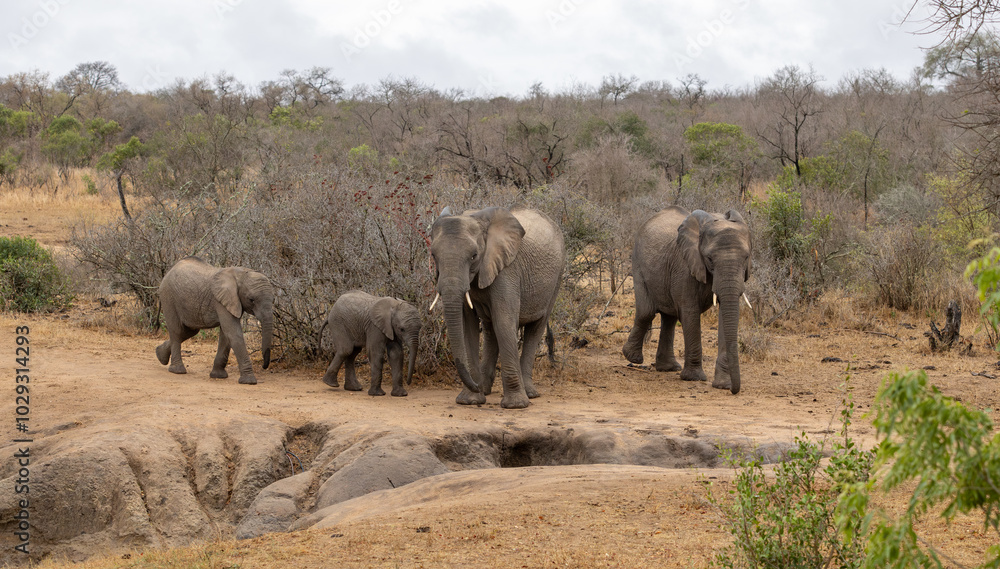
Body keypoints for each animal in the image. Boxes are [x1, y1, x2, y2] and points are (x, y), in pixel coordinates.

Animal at [156, 257, 274, 385]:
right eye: (251, 300)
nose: (264, 366)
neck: (241, 273)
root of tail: (169, 271)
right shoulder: (221, 300)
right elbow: (233, 333)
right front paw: (249, 381)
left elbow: (226, 335)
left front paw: (218, 375)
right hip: (168, 297)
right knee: (177, 331)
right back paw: (177, 370)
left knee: (189, 331)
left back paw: (160, 355)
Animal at [430, 206, 565, 409]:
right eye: (433, 256)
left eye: (474, 256)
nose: (475, 385)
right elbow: (467, 326)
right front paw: (470, 400)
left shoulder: (507, 271)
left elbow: (504, 321)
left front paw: (515, 405)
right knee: (489, 328)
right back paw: (485, 389)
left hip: (557, 278)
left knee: (535, 328)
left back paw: (530, 394)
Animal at [622, 206, 751, 394]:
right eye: (710, 258)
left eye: (746, 258)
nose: (734, 391)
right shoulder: (684, 267)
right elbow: (690, 313)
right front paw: (694, 378)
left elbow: (724, 314)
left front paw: (722, 385)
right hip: (638, 263)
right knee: (646, 312)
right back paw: (633, 358)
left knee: (669, 318)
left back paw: (668, 367)